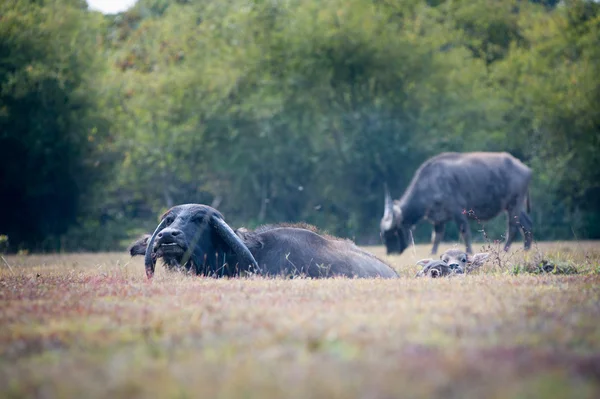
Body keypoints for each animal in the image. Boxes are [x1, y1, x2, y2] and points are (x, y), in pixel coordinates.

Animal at [382, 152, 532, 255]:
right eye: (383, 235)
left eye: (394, 232)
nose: (391, 252)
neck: (431, 183)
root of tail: (525, 169)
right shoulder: (438, 219)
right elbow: (436, 237)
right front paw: (432, 252)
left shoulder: (458, 212)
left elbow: (464, 231)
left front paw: (469, 251)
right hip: (515, 206)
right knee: (526, 224)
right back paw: (526, 248)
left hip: (514, 204)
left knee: (513, 227)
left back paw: (505, 249)